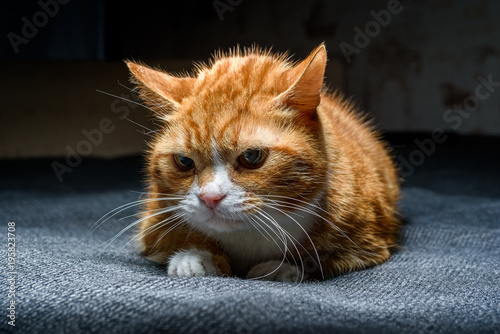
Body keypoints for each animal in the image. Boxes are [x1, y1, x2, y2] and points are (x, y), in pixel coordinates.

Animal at [127, 43, 400, 280]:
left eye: (251, 156)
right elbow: (177, 235)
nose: (210, 198)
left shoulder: (369, 241)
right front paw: (194, 257)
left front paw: (283, 268)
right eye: (184, 161)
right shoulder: (153, 218)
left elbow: (319, 258)